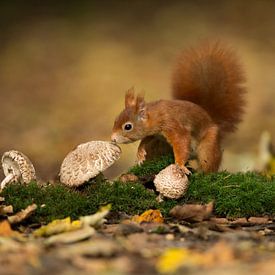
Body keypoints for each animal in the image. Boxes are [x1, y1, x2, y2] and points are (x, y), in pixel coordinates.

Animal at [111, 41, 247, 174]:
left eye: (128, 126)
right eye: (115, 120)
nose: (112, 139)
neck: (157, 114)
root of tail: (212, 120)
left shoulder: (173, 125)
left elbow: (181, 142)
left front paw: (180, 165)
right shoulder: (155, 134)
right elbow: (146, 140)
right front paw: (140, 154)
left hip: (208, 145)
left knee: (209, 163)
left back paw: (202, 172)